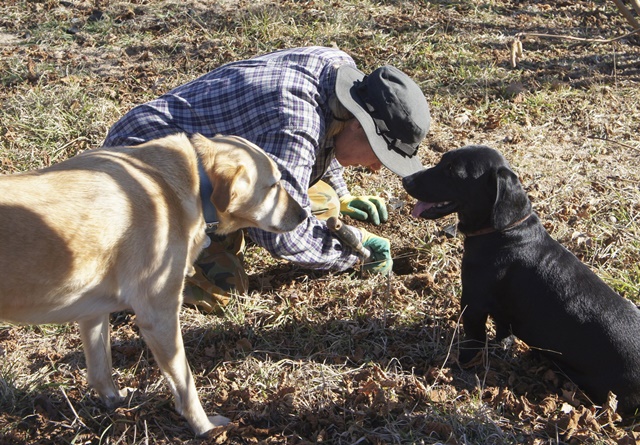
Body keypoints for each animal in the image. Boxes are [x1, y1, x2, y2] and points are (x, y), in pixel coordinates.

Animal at [0, 134, 308, 436]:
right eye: (273, 185)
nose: (304, 215)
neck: (193, 182)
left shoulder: (93, 313)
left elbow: (101, 370)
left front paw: (115, 403)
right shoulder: (159, 318)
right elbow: (186, 386)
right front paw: (205, 427)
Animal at [402, 146, 640, 412]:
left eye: (453, 171)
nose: (406, 180)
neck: (507, 232)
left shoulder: (473, 304)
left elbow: (474, 341)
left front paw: (461, 363)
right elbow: (502, 331)